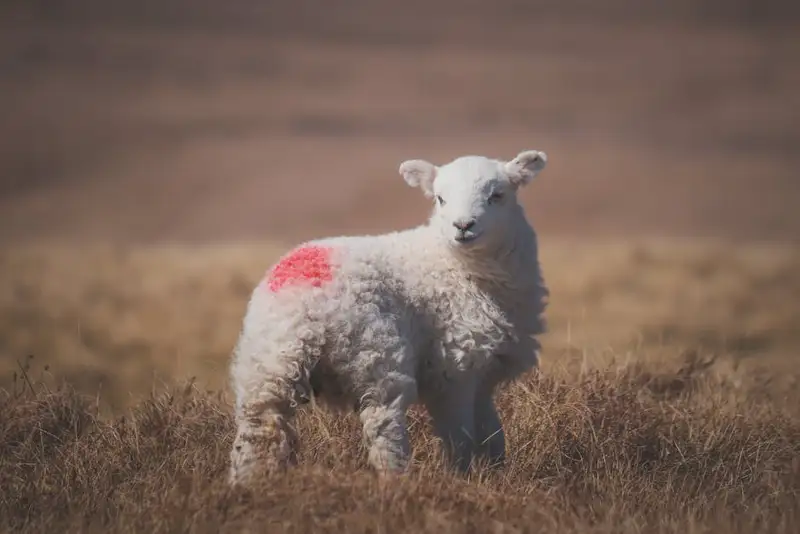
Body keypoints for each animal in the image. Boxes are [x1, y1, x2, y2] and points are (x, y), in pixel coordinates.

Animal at [225, 149, 552, 488]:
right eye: (440, 199)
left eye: (497, 195)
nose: (463, 226)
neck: (455, 265)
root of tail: (308, 303)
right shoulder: (453, 366)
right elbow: (460, 433)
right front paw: (461, 477)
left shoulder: (485, 370)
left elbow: (492, 431)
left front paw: (496, 473)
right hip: (375, 351)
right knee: (383, 423)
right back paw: (396, 479)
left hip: (268, 361)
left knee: (259, 426)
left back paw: (246, 484)